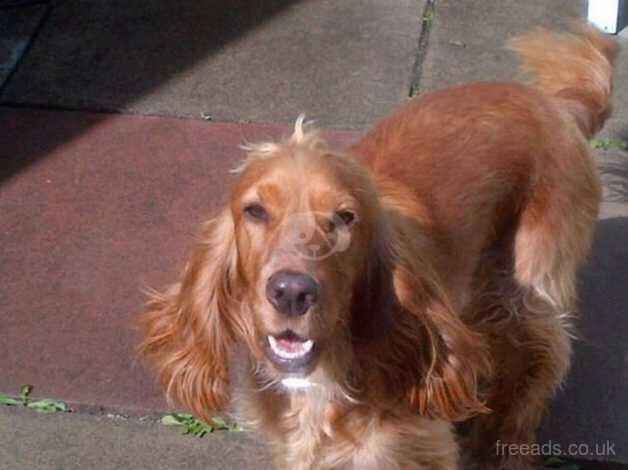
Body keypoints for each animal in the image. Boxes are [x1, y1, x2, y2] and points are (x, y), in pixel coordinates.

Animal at [139, 25, 620, 470]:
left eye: (344, 218)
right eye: (255, 211)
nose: (292, 292)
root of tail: (558, 104)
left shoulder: (416, 446)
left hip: (527, 294)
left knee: (536, 367)